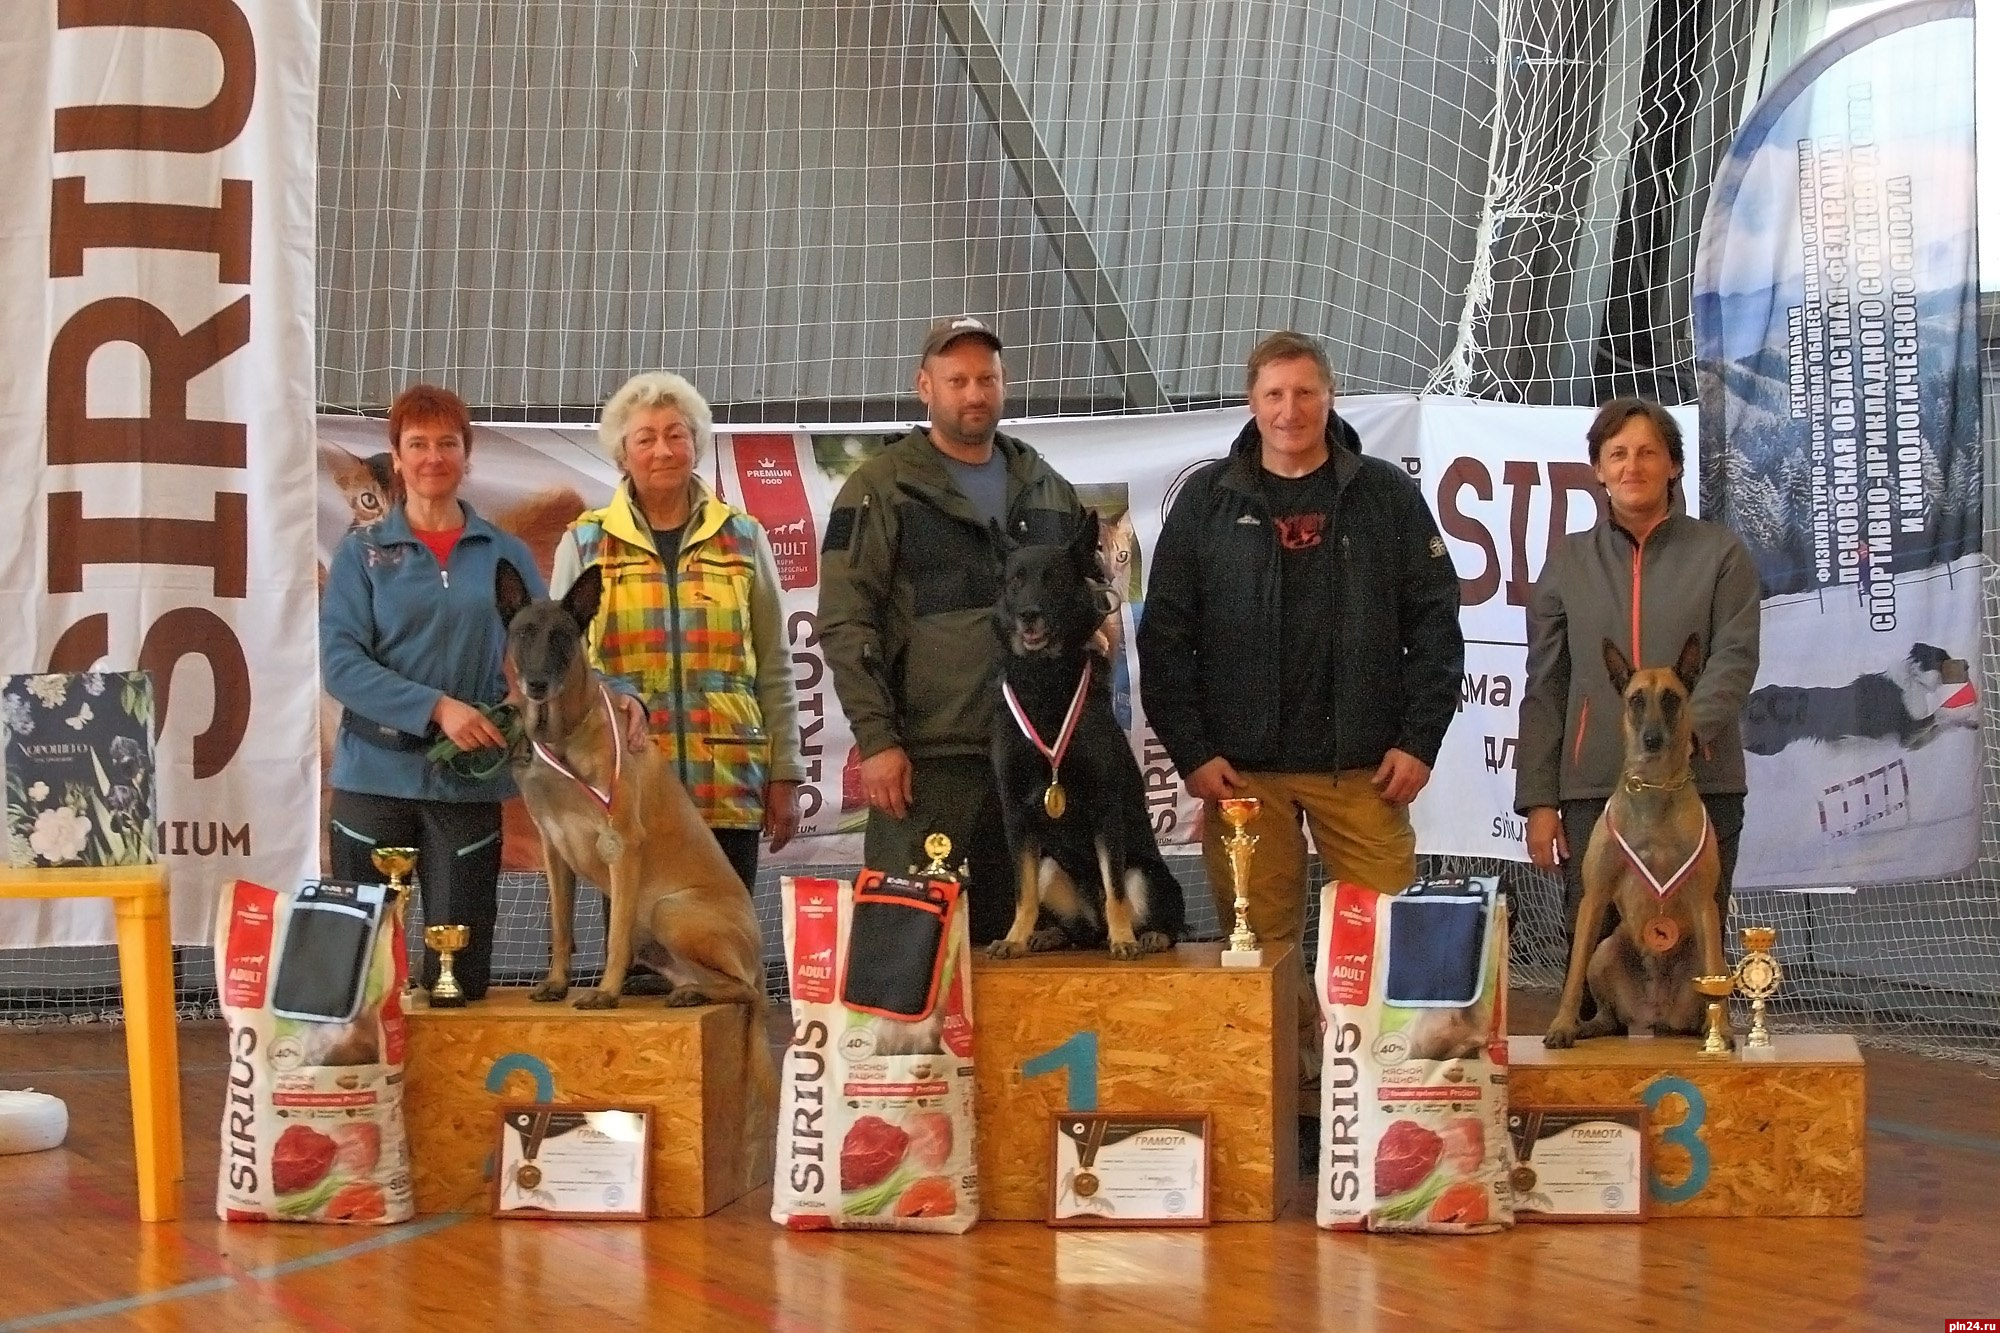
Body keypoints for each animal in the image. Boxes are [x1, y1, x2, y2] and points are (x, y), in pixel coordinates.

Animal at [494, 560, 776, 1163]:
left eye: (562, 636)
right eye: (524, 632)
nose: (535, 684)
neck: (564, 733)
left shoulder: (622, 847)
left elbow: (614, 935)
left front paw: (604, 991)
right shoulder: (554, 852)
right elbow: (561, 929)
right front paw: (557, 983)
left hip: (672, 911)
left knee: (742, 989)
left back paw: (694, 993)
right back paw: (683, 988)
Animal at [987, 512, 1185, 960]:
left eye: (1055, 581)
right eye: (1015, 582)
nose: (1028, 614)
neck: (1044, 683)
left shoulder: (1105, 808)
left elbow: (1116, 891)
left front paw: (1124, 939)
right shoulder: (1017, 814)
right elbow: (1023, 894)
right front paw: (1014, 937)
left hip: (1146, 873)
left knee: (1156, 916)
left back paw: (1146, 935)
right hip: (1049, 866)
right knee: (1080, 931)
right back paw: (1050, 935)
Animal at [1545, 634, 1727, 1048]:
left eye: (1671, 699)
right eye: (1636, 699)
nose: (1652, 740)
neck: (1656, 788)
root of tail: (1655, 1016)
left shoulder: (1703, 902)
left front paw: (1721, 1033)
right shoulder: (1594, 898)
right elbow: (1572, 976)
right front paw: (1561, 1024)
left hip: (1709, 950)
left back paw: (1706, 1030)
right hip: (1606, 949)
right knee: (1607, 1014)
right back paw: (1587, 1026)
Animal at [1741, 642, 1978, 755]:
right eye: (1944, 658)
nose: (1968, 664)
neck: (1915, 678)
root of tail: (1754, 695)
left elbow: (1941, 724)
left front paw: (1969, 723)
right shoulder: (1906, 734)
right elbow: (1940, 715)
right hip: (1772, 742)